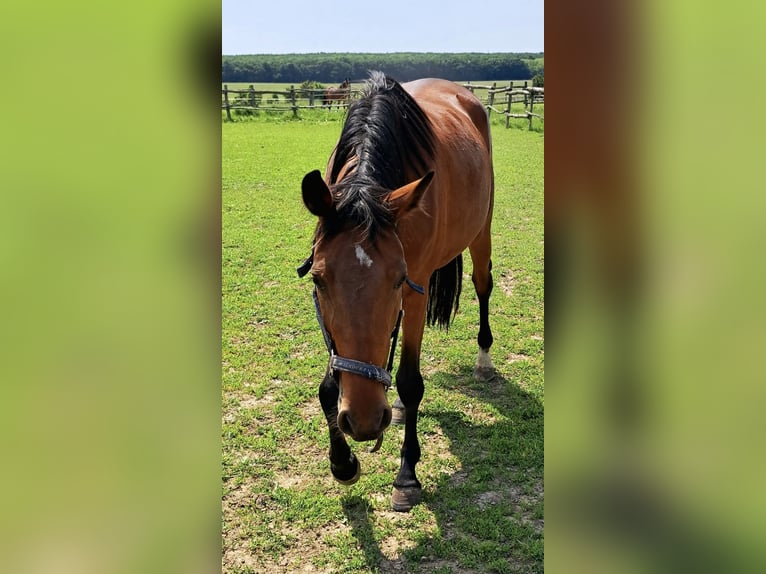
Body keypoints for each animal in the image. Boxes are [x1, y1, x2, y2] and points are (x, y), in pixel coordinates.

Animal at [296, 72, 496, 512]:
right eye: (318, 279)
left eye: (398, 278)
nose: (365, 420)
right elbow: (329, 387)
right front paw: (342, 464)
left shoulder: (415, 292)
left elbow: (410, 380)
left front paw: (407, 475)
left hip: (482, 231)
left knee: (483, 285)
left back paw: (484, 360)